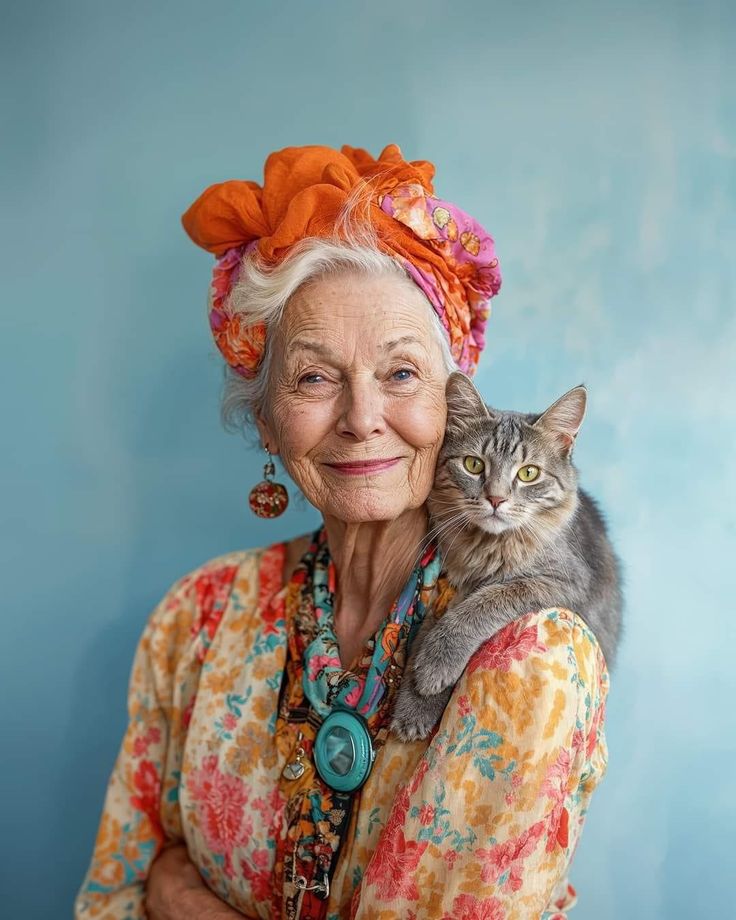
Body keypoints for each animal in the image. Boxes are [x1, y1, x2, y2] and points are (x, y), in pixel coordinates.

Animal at [392, 372, 620, 740]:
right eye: (473, 465)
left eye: (528, 473)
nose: (496, 499)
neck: (488, 545)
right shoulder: (450, 579)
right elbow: (432, 624)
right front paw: (416, 699)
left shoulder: (566, 583)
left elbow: (483, 604)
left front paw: (435, 666)